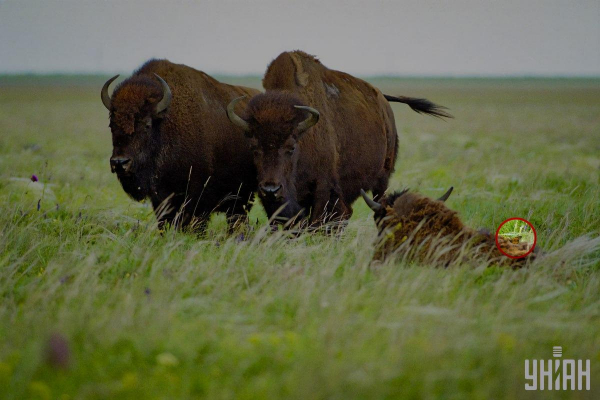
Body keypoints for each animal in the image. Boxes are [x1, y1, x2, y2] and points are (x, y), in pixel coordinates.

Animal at [101, 57, 260, 230]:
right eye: (111, 124)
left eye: (147, 124)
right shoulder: (161, 198)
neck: (166, 123)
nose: (119, 162)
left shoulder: (197, 195)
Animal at [227, 51, 452, 230]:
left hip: (383, 178)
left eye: (291, 148)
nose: (271, 189)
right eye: (254, 148)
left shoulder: (323, 190)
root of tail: (382, 99)